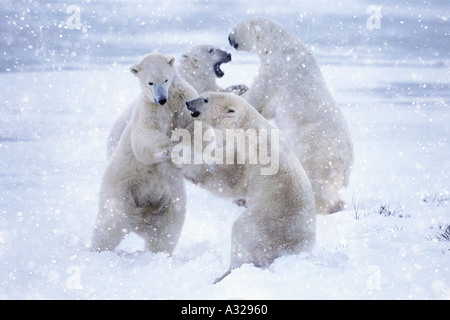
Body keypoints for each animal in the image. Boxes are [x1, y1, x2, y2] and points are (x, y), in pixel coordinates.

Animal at [91, 53, 197, 254]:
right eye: (150, 82)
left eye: (165, 79)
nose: (161, 99)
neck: (169, 101)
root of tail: (141, 216)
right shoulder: (148, 108)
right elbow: (145, 134)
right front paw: (168, 149)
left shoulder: (182, 98)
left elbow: (196, 126)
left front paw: (183, 151)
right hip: (123, 189)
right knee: (111, 221)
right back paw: (97, 249)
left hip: (170, 197)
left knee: (168, 228)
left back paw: (159, 252)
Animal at [229, 16, 356, 212]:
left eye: (236, 29)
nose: (229, 38)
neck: (281, 45)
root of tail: (347, 164)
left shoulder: (275, 72)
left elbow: (257, 98)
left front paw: (237, 92)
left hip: (317, 149)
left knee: (316, 180)